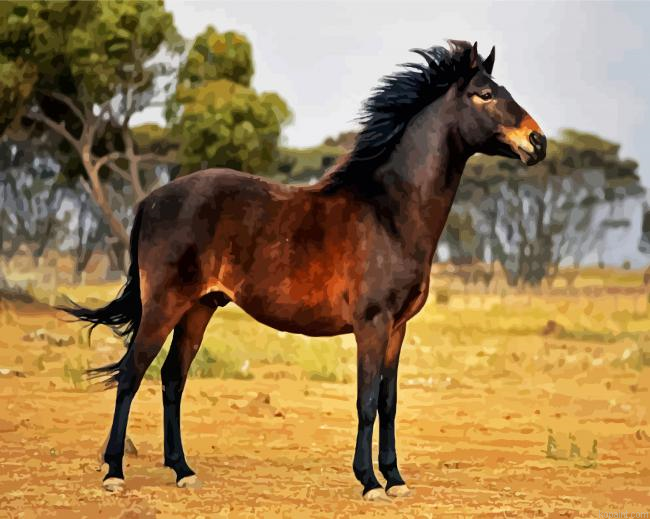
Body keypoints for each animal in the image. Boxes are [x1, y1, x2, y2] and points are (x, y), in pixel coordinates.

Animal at [64, 40, 546, 501]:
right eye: (485, 94)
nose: (538, 141)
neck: (388, 212)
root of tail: (150, 200)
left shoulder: (398, 328)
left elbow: (388, 403)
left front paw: (395, 478)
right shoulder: (372, 325)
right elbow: (366, 401)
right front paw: (369, 482)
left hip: (199, 308)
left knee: (172, 379)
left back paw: (183, 471)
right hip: (164, 305)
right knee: (131, 375)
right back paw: (114, 472)